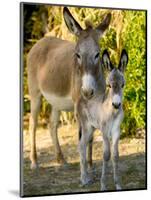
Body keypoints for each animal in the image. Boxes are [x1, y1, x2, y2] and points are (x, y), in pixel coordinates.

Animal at [76, 49, 129, 190]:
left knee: (84, 144)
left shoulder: (116, 131)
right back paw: (84, 179)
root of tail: (83, 96)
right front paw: (103, 185)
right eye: (109, 85)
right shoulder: (105, 131)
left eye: (123, 85)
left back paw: (86, 176)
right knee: (81, 145)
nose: (116, 104)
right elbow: (106, 155)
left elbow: (115, 155)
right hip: (86, 127)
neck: (112, 112)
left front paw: (118, 185)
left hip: (93, 128)